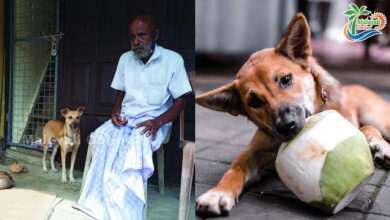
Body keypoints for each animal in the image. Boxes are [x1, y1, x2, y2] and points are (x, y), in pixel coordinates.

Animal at [195, 12, 390, 216]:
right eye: (254, 102)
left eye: (286, 79)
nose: (286, 126)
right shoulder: (253, 151)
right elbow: (235, 169)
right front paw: (218, 192)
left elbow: (367, 128)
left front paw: (379, 145)